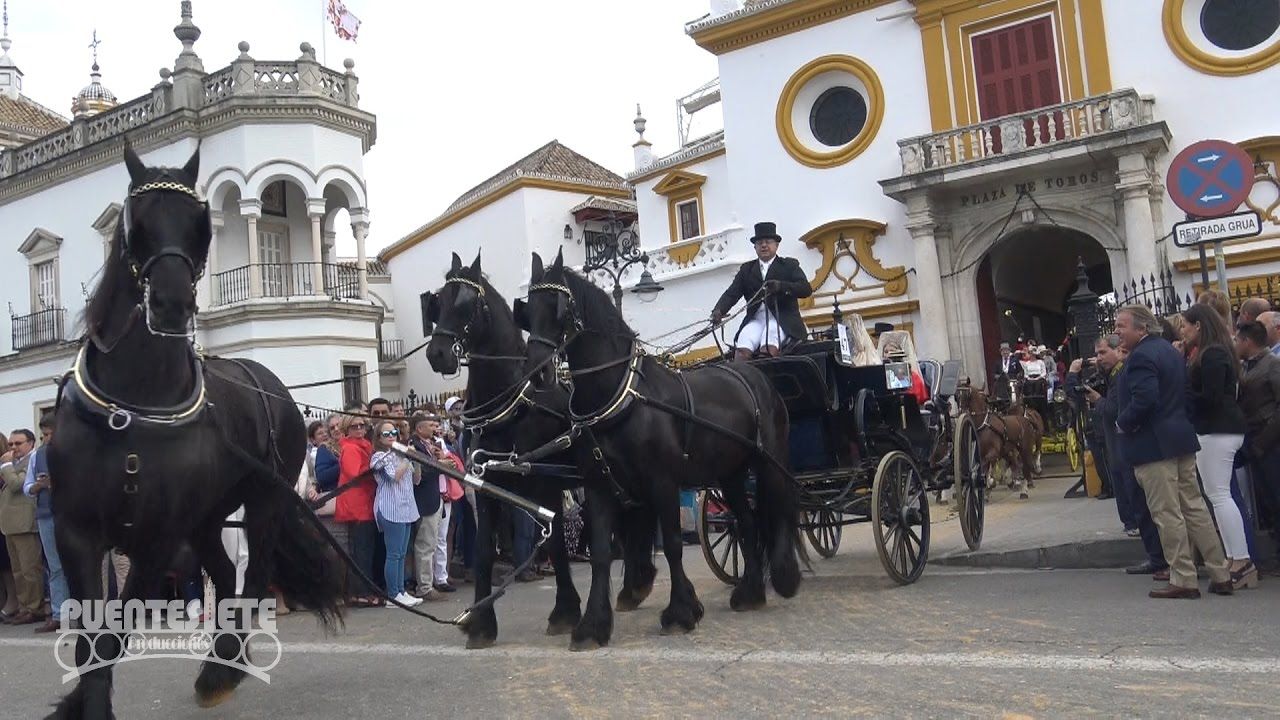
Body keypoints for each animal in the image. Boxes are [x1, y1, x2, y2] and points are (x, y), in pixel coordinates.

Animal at [48, 142, 343, 712]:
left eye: (199, 224)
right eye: (135, 219)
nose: (171, 303)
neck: (129, 409)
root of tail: (271, 383)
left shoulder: (156, 539)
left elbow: (112, 633)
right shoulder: (76, 531)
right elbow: (90, 637)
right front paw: (81, 703)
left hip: (264, 501)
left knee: (254, 577)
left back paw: (223, 668)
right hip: (206, 517)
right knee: (226, 575)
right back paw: (219, 666)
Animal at [424, 252, 660, 650]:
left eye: (467, 304)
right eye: (439, 302)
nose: (437, 353)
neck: (512, 407)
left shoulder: (545, 485)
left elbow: (558, 547)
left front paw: (565, 612)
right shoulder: (487, 488)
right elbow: (484, 552)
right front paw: (481, 623)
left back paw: (636, 584)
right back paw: (635, 585)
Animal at [517, 248, 798, 645]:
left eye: (558, 307)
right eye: (528, 310)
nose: (536, 373)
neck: (621, 397)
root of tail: (753, 373)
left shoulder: (662, 482)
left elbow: (674, 546)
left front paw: (680, 612)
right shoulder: (599, 485)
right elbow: (601, 553)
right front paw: (593, 625)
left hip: (768, 460)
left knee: (780, 507)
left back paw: (784, 578)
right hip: (729, 474)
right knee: (746, 521)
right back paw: (751, 592)